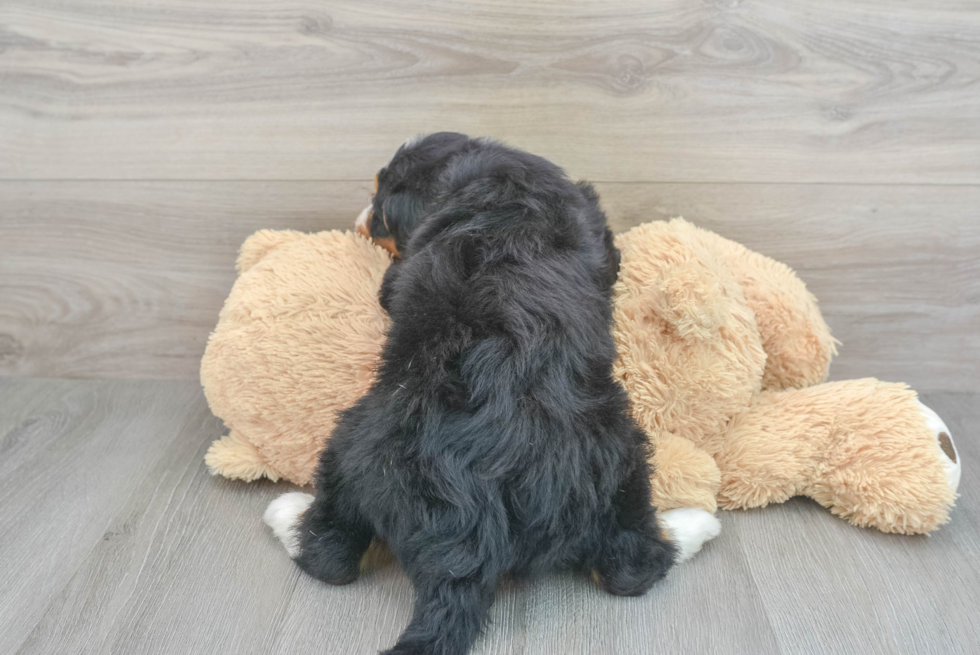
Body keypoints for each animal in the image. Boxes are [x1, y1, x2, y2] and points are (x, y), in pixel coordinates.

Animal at [268, 135, 720, 655]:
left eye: (381, 209)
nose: (361, 219)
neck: (499, 181)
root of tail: (468, 529)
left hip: (353, 444)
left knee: (330, 555)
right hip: (618, 458)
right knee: (632, 564)